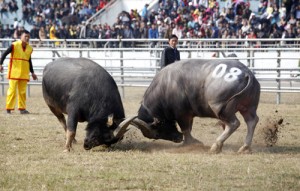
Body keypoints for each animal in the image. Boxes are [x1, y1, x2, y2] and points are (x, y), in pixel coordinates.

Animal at [130, 59, 262, 153]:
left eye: (157, 133)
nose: (178, 138)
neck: (165, 87)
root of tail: (246, 74)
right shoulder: (189, 114)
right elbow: (189, 128)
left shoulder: (182, 114)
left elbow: (185, 129)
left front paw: (191, 143)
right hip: (248, 107)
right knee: (252, 121)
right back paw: (245, 147)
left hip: (221, 108)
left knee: (233, 124)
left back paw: (216, 146)